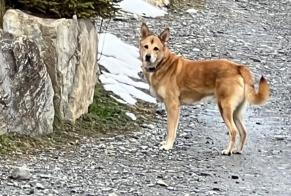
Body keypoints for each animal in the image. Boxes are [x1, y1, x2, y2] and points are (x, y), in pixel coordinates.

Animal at [140, 22, 270, 155]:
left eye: (156, 48)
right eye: (146, 46)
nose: (147, 56)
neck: (161, 64)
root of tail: (238, 67)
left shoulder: (172, 106)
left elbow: (171, 129)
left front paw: (167, 146)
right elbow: (172, 128)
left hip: (225, 108)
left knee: (233, 131)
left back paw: (228, 150)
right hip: (236, 112)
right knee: (243, 131)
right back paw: (237, 150)